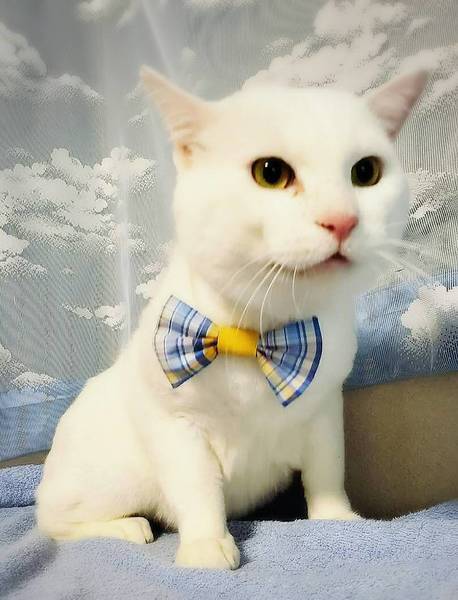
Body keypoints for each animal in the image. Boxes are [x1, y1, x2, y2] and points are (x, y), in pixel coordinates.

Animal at [35, 67, 428, 569]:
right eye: (271, 173)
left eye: (366, 172)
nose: (341, 220)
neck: (255, 331)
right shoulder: (175, 425)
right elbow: (198, 489)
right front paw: (206, 545)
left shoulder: (325, 408)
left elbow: (327, 470)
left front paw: (336, 521)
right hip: (113, 477)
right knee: (51, 521)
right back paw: (126, 528)